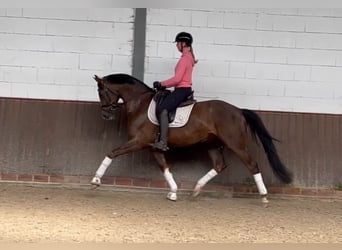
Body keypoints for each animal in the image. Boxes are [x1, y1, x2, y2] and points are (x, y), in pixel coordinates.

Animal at [91, 72, 294, 203]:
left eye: (101, 92)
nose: (105, 115)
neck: (139, 102)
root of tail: (238, 110)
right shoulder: (153, 146)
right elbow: (165, 167)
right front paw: (173, 192)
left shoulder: (139, 142)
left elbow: (112, 153)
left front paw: (95, 181)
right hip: (212, 145)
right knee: (219, 165)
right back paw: (196, 190)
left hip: (236, 144)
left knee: (252, 165)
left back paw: (264, 196)